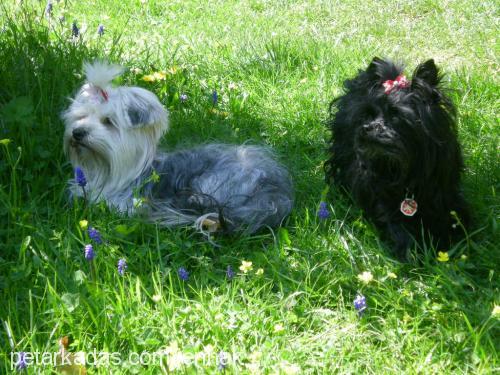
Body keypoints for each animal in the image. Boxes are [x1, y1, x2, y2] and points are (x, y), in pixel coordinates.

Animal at [64, 62, 294, 235]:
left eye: (108, 122)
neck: (105, 170)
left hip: (219, 179)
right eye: (80, 116)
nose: (78, 133)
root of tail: (275, 192)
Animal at [326, 58, 470, 258]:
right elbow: (397, 225)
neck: (404, 168)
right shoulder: (382, 197)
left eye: (395, 116)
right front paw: (415, 252)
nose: (366, 128)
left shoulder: (445, 193)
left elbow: (456, 218)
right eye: (367, 115)